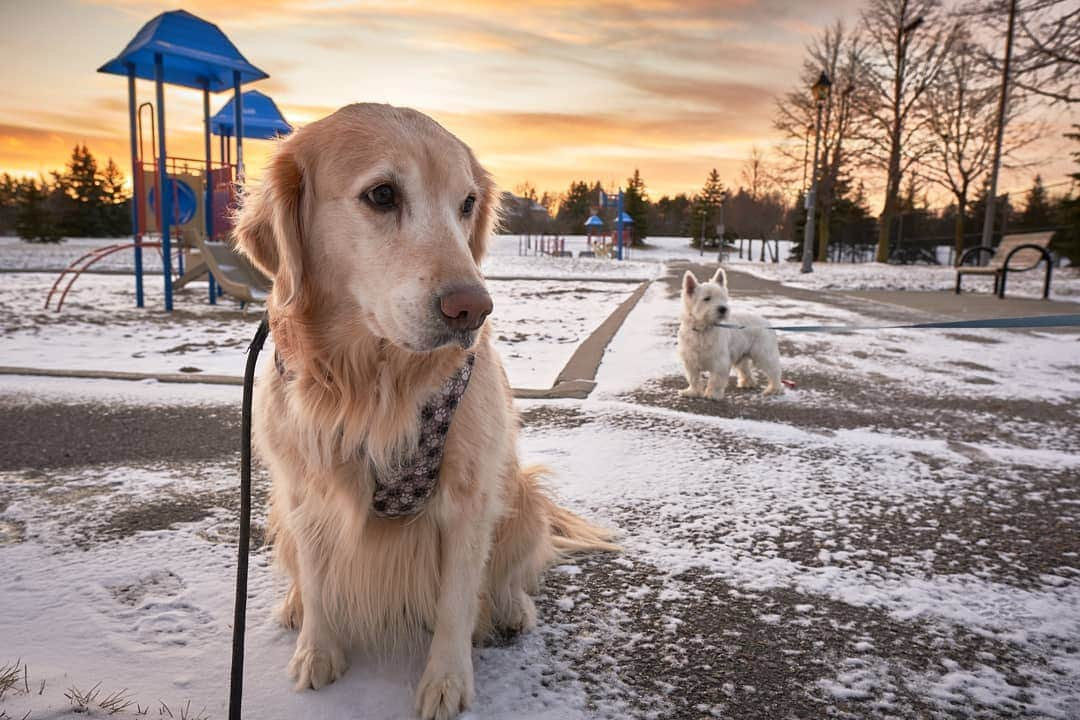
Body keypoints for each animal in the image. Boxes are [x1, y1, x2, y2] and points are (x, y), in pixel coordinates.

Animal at [673, 267, 786, 399]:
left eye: (723, 297)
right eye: (707, 298)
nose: (723, 309)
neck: (703, 329)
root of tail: (766, 322)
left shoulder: (720, 362)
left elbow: (715, 380)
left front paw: (712, 394)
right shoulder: (690, 361)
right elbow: (693, 378)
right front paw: (692, 392)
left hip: (764, 354)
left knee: (774, 370)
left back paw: (774, 389)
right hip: (742, 354)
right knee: (745, 369)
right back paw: (747, 383)